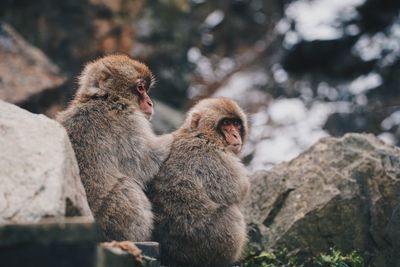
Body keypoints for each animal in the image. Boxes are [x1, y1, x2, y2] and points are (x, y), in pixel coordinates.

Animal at [56, 54, 172, 243]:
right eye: (141, 88)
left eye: (146, 89)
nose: (150, 103)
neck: (105, 97)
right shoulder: (127, 120)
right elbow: (144, 162)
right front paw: (174, 136)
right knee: (127, 187)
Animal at [148, 98, 250, 267]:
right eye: (226, 123)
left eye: (236, 123)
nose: (235, 135)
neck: (200, 134)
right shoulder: (215, 157)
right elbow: (238, 190)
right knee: (232, 213)